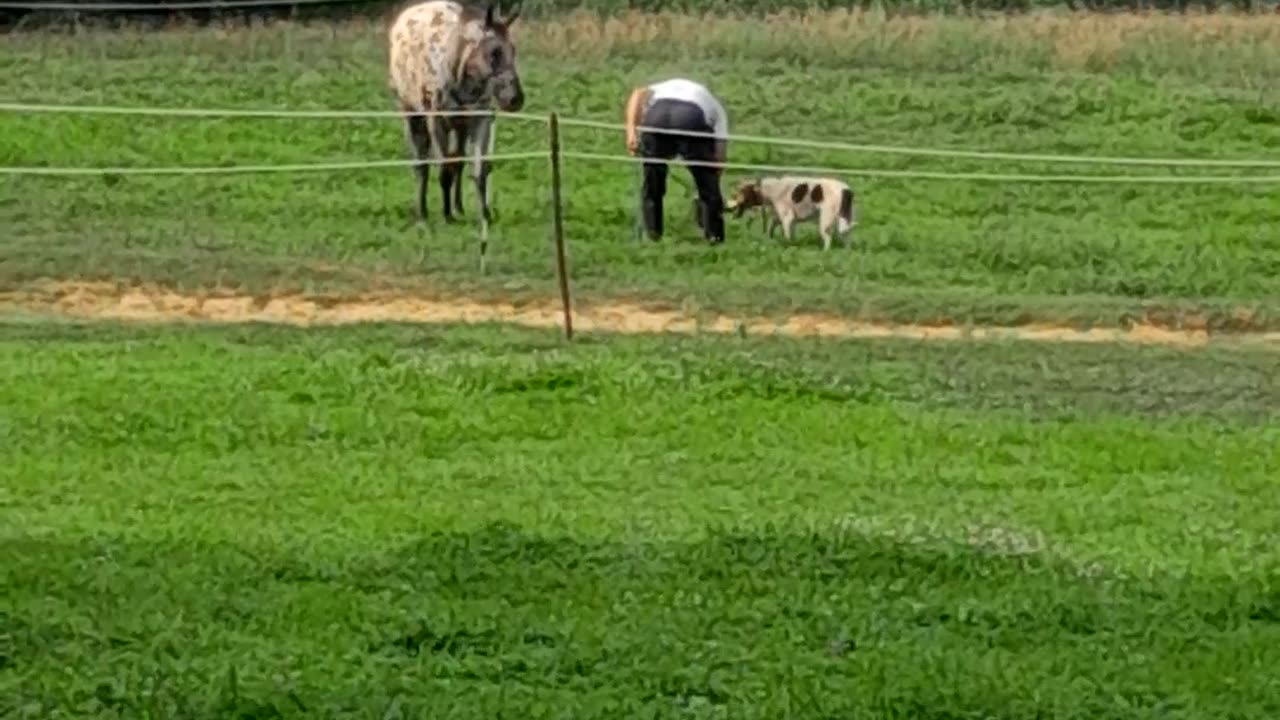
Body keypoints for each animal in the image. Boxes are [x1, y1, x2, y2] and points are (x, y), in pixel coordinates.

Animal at [727, 174, 855, 249]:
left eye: (737, 194)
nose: (727, 207)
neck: (772, 189)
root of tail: (846, 190)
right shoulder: (786, 219)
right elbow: (773, 228)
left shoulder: (787, 218)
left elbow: (786, 235)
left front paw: (787, 246)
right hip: (844, 219)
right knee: (845, 235)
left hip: (825, 221)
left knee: (828, 238)